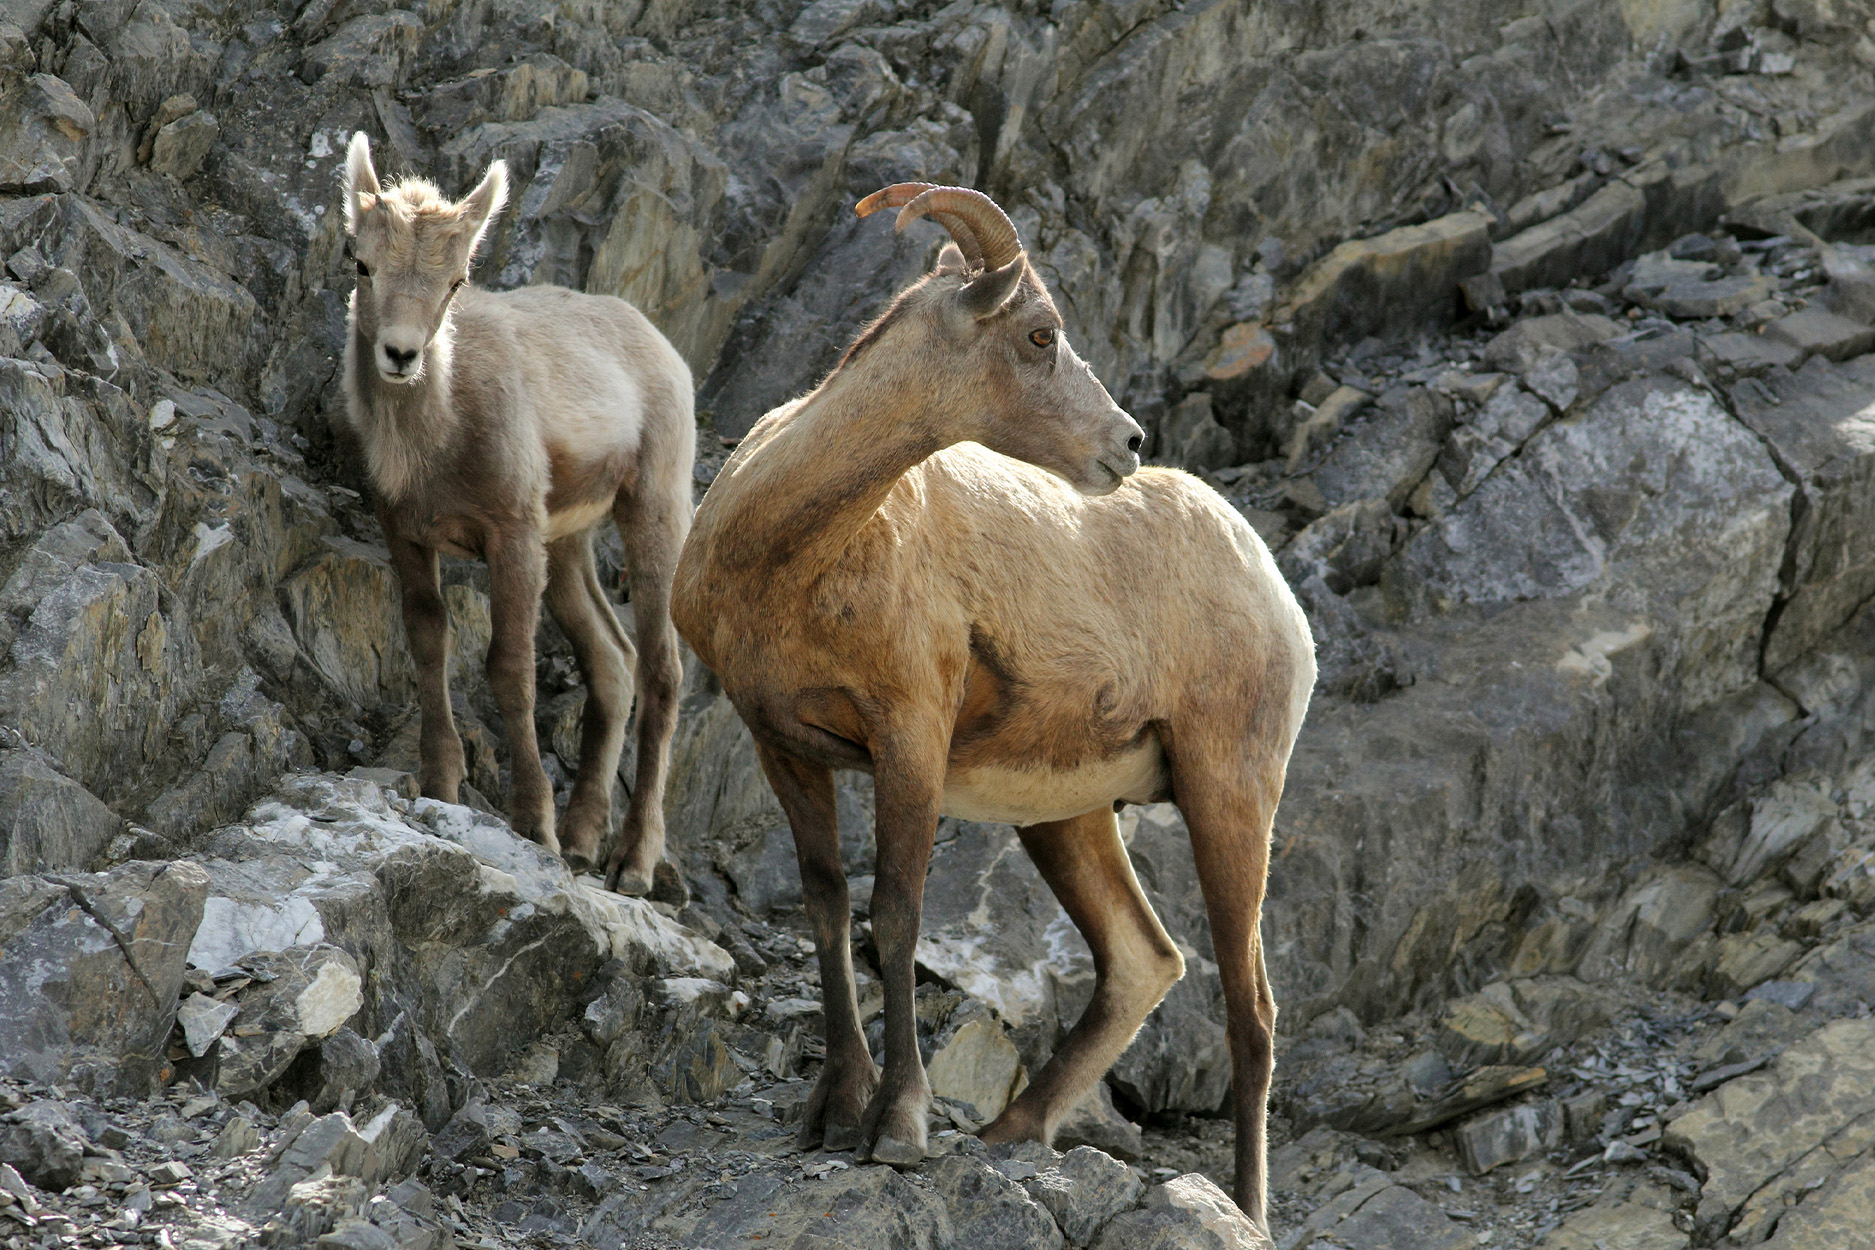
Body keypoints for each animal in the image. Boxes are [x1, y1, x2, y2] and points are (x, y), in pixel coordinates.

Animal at [339, 133, 694, 895]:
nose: (401, 355)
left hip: (652, 513)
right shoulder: (408, 535)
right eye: (362, 262)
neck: (437, 442)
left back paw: (631, 862)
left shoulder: (512, 537)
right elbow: (429, 641)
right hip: (569, 545)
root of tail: (661, 349)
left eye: (456, 281)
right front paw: (441, 782)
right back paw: (587, 840)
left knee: (661, 671)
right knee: (613, 663)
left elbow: (509, 669)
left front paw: (536, 825)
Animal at [671, 182, 1316, 1233]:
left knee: (1248, 1011)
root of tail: (1272, 591)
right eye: (1039, 333)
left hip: (1229, 793)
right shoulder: (784, 746)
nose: (1125, 444)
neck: (788, 555)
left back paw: (1246, 1211)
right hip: (1068, 815)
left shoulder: (909, 737)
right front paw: (830, 1113)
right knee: (1144, 961)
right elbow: (826, 906)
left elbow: (893, 915)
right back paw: (1010, 1133)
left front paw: (896, 1128)